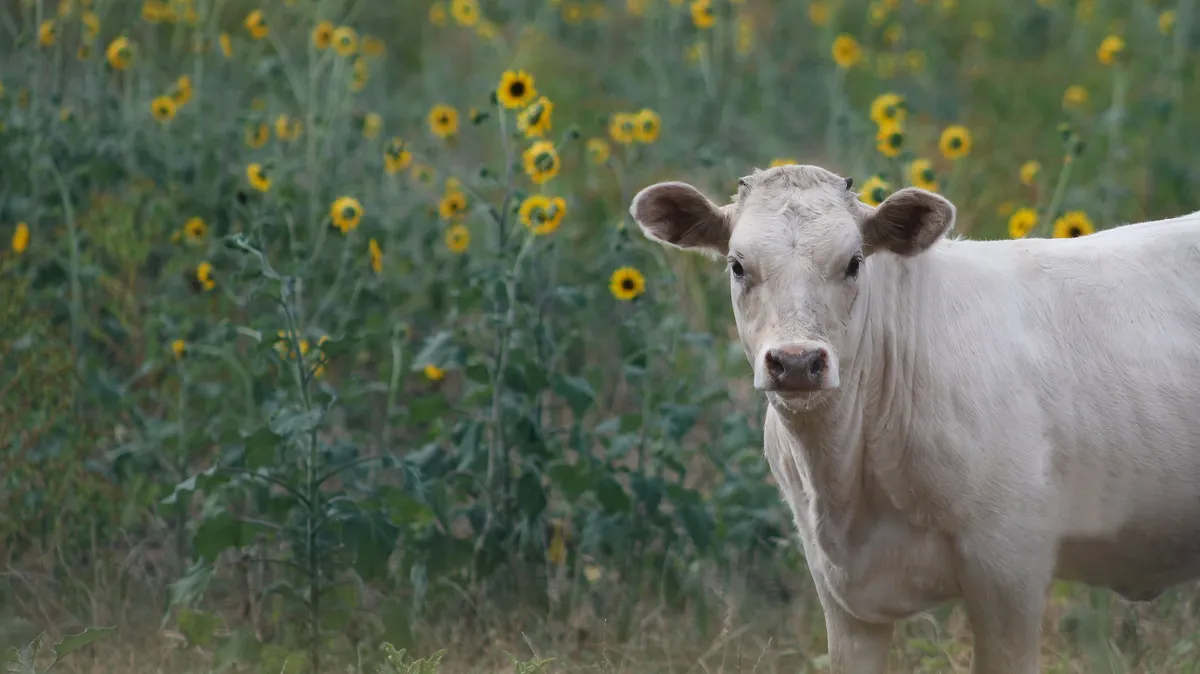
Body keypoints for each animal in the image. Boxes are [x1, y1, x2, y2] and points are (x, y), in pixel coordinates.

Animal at [628, 164, 1200, 671]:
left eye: (854, 262)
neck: (848, 480)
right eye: (737, 265)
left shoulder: (1010, 567)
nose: (796, 362)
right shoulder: (840, 594)